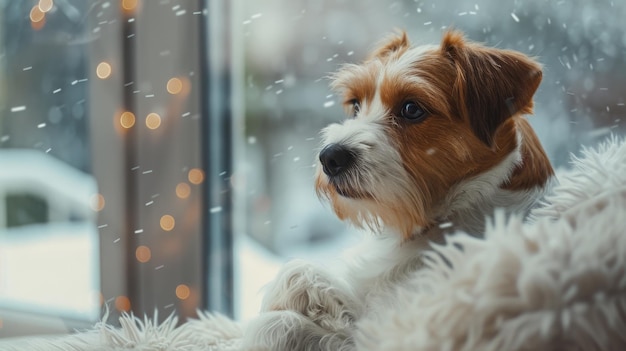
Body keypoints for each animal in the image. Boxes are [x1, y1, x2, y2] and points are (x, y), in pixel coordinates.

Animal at [243, 29, 552, 351]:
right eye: (356, 105)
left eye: (411, 109)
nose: (329, 157)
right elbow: (299, 271)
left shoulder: (399, 331)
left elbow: (278, 322)